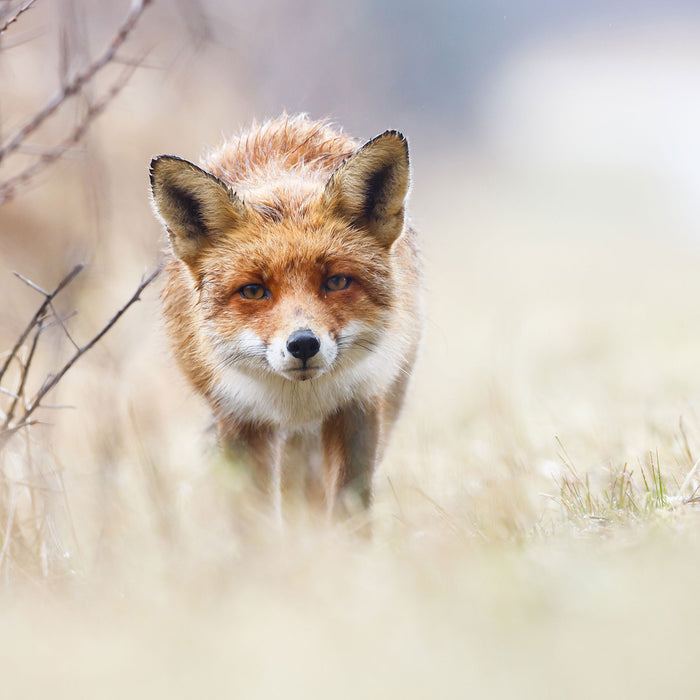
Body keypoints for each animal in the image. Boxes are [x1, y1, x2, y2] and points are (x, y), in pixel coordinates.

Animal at [149, 115, 422, 516]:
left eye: (336, 281)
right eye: (252, 291)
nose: (304, 344)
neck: (298, 400)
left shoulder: (358, 406)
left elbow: (348, 509)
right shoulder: (239, 418)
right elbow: (254, 516)